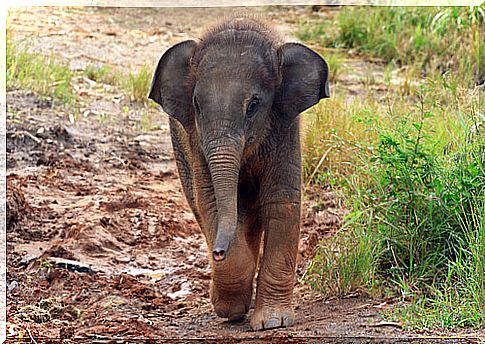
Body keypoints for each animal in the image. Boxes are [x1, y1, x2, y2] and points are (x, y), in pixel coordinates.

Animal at [148, 17, 328, 330]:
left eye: (253, 105)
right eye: (196, 105)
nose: (218, 252)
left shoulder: (285, 128)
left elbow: (281, 203)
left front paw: (272, 322)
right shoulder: (195, 142)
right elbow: (210, 201)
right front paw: (229, 308)